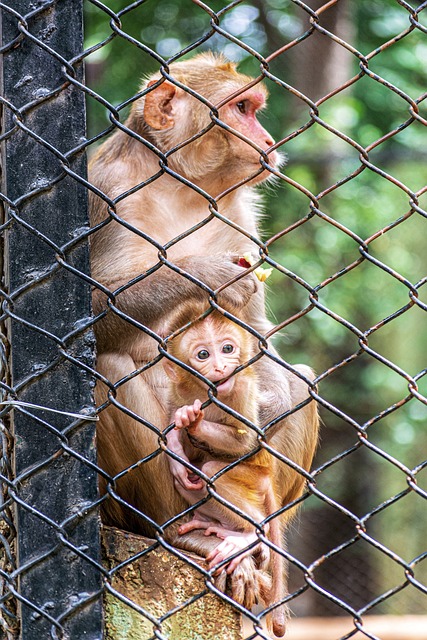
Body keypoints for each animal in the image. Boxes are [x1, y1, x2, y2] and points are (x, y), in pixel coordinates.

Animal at [164, 304, 288, 636]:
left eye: (228, 349)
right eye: (203, 354)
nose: (221, 367)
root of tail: (268, 475)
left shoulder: (243, 385)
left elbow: (245, 441)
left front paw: (193, 423)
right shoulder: (176, 388)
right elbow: (171, 417)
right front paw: (176, 443)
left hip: (252, 474)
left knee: (210, 471)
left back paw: (249, 536)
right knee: (191, 480)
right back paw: (218, 525)